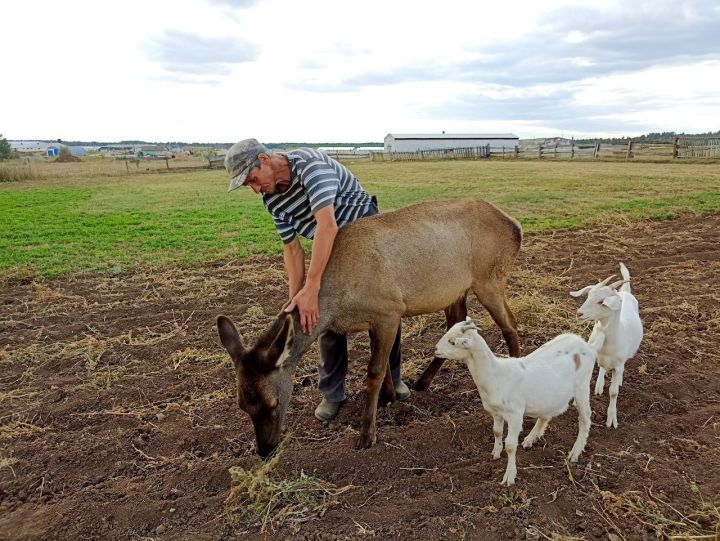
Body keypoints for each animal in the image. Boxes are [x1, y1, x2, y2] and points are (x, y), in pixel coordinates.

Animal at [217, 198, 520, 456]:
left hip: (490, 278)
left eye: (273, 402)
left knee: (510, 324)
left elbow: (374, 370)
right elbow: (383, 365)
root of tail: (515, 225)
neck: (340, 302)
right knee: (456, 327)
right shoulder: (375, 320)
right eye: (242, 405)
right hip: (455, 291)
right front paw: (388, 398)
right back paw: (423, 381)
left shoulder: (389, 310)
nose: (265, 450)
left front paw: (367, 435)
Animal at [436, 316, 600, 486]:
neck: (496, 375)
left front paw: (509, 476)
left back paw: (575, 453)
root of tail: (588, 346)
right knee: (547, 413)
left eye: (452, 341)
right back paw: (531, 439)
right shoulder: (496, 412)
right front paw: (495, 453)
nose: (435, 350)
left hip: (582, 386)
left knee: (585, 418)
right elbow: (496, 431)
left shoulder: (515, 414)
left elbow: (510, 445)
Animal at [572, 264, 644, 428]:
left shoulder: (618, 365)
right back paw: (599, 384)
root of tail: (625, 292)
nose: (579, 313)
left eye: (601, 301)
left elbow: (613, 392)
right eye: (588, 296)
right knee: (602, 367)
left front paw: (611, 419)